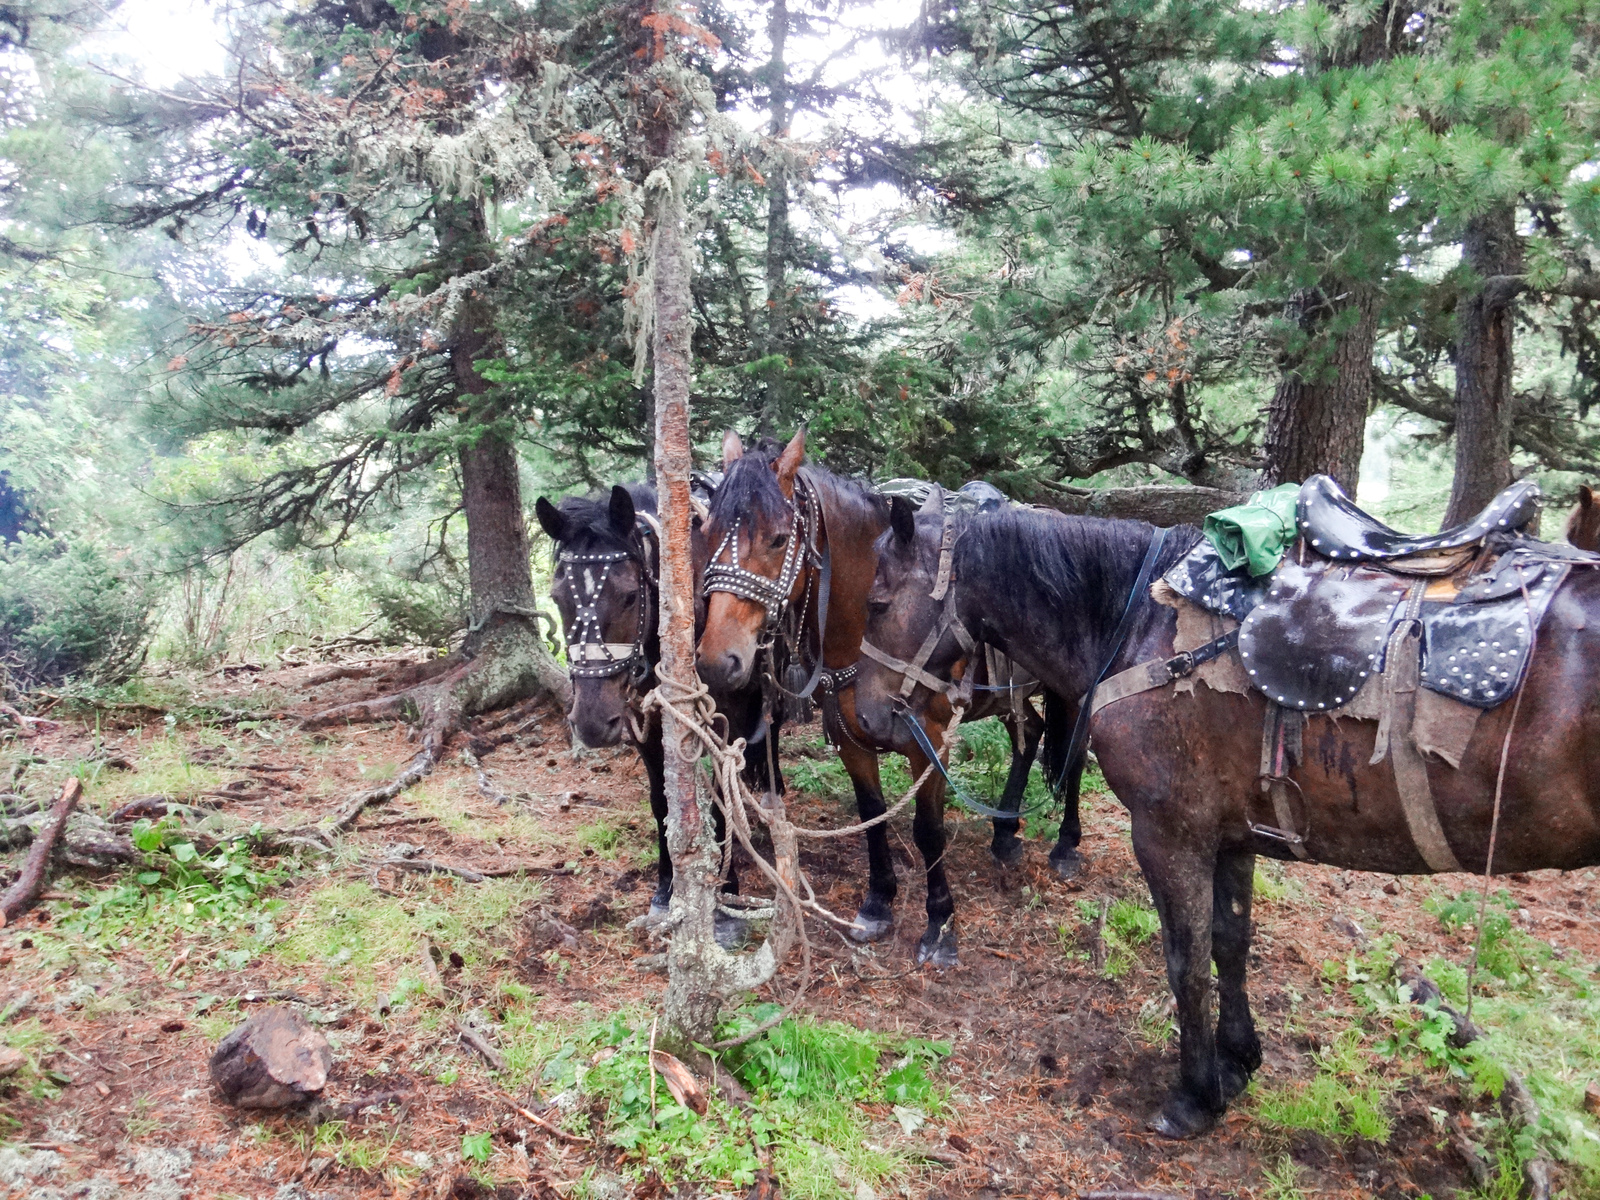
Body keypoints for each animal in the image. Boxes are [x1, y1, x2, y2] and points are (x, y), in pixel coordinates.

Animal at [534, 483, 777, 928]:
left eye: (631, 596)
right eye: (558, 597)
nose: (591, 723)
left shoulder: (725, 719)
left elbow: (720, 796)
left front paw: (727, 888)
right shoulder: (643, 722)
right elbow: (661, 800)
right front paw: (666, 887)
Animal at [691, 432, 1088, 966]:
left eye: (777, 538)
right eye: (708, 533)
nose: (717, 660)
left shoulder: (931, 742)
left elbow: (927, 830)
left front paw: (940, 925)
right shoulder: (848, 738)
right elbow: (870, 815)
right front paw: (878, 902)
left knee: (1075, 756)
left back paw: (1066, 845)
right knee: (1031, 734)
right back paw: (1005, 835)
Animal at [857, 492, 1600, 1139]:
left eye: (877, 601)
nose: (865, 720)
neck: (1143, 624)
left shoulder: (1170, 834)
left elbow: (1185, 963)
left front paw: (1195, 1096)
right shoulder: (1233, 833)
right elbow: (1230, 944)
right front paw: (1238, 1060)